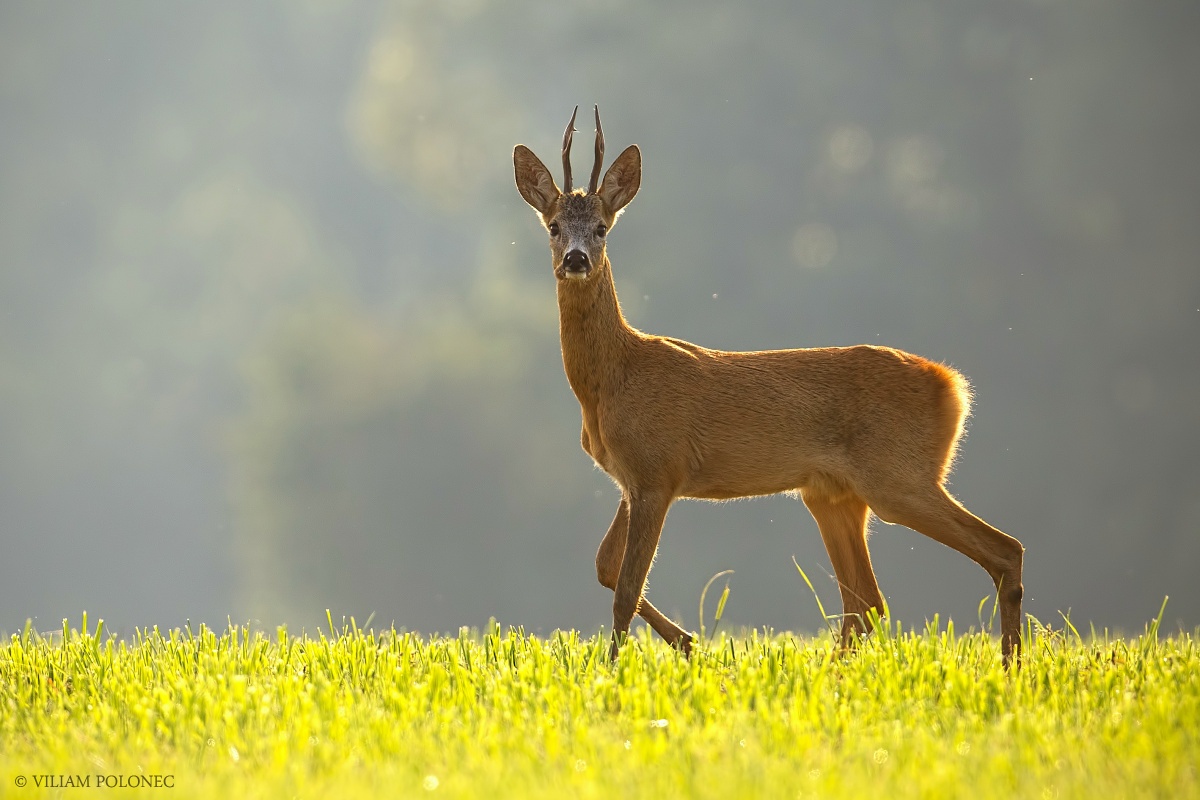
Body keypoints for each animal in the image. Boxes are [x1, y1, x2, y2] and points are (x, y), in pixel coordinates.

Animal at [511, 107, 1027, 671]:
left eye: (602, 228)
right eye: (554, 226)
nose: (576, 259)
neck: (612, 381)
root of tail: (953, 385)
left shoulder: (657, 470)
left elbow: (625, 586)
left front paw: (615, 671)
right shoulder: (632, 479)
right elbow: (605, 566)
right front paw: (689, 643)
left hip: (898, 475)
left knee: (1003, 550)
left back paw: (1010, 667)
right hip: (832, 495)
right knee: (867, 599)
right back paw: (838, 673)